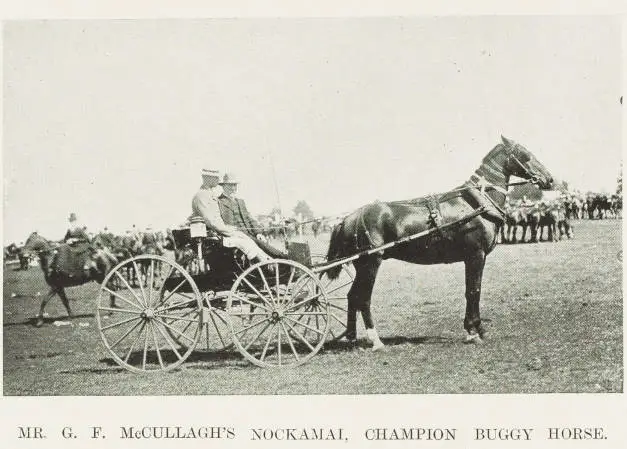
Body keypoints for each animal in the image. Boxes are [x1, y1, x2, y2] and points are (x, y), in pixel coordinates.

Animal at [324, 135, 556, 348]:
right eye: (525, 154)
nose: (550, 180)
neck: (476, 204)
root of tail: (347, 219)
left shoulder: (474, 258)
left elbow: (474, 290)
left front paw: (476, 328)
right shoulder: (476, 255)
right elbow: (473, 290)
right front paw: (473, 331)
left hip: (361, 265)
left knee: (352, 296)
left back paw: (352, 337)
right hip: (370, 263)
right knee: (363, 298)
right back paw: (375, 340)